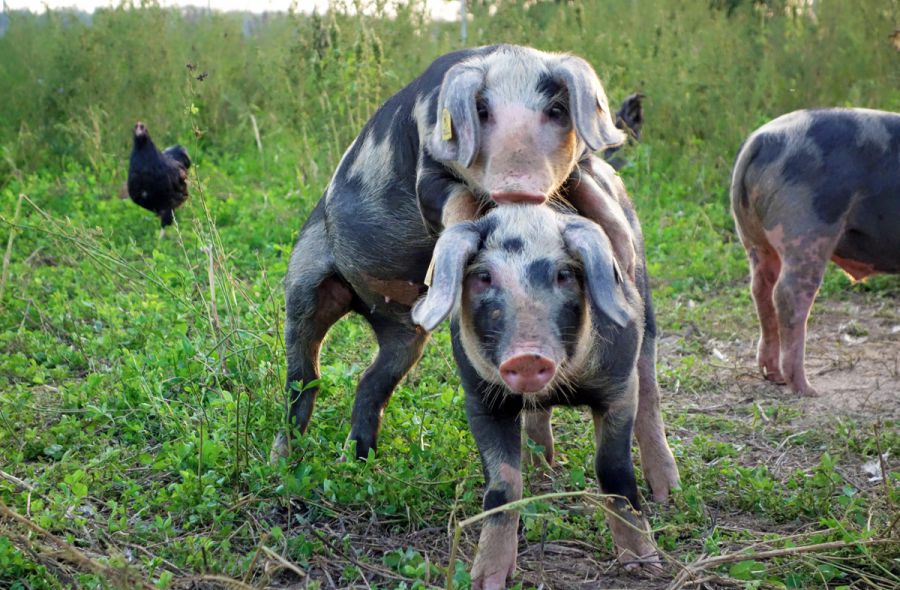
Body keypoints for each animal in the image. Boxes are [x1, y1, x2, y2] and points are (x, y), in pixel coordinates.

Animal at [732, 108, 900, 400]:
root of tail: (760, 140)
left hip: (754, 239)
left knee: (761, 289)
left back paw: (774, 376)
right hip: (807, 229)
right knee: (788, 295)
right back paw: (807, 389)